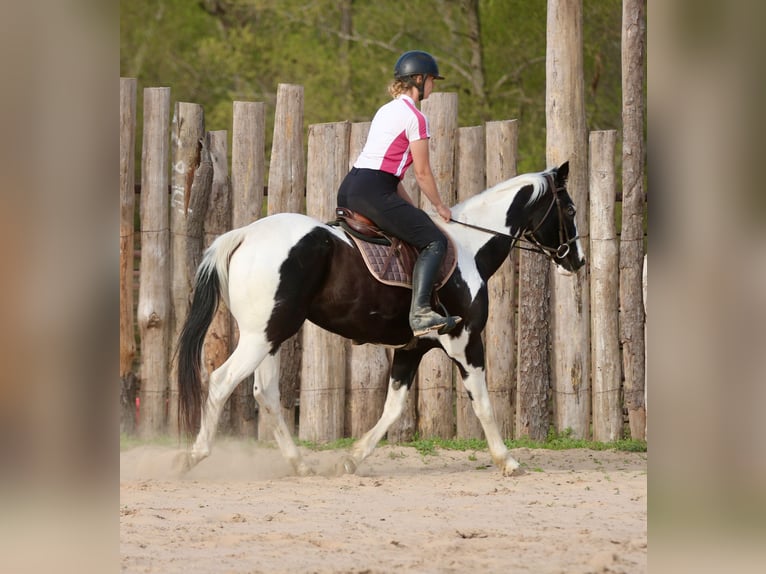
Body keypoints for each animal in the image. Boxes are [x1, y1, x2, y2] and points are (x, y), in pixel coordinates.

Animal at [177, 161, 585, 477]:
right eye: (570, 210)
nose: (577, 260)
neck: (469, 249)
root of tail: (245, 234)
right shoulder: (466, 341)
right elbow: (482, 401)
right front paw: (508, 461)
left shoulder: (412, 348)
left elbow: (393, 408)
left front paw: (351, 459)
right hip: (261, 336)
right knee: (221, 381)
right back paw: (193, 456)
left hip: (271, 336)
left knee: (267, 393)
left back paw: (300, 465)